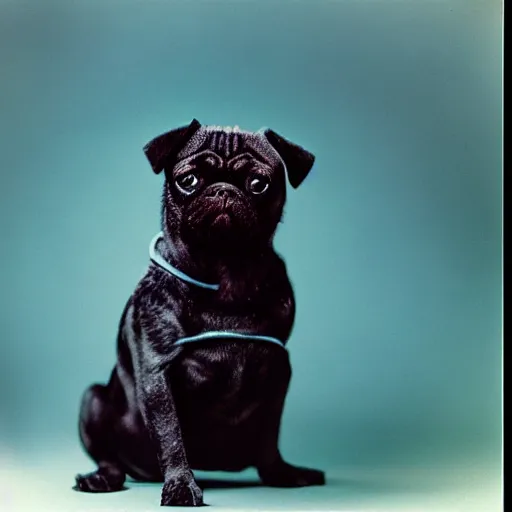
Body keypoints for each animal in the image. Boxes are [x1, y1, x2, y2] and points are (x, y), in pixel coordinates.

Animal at [74, 121, 326, 508]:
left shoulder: (278, 371)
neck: (226, 276)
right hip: (94, 400)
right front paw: (180, 485)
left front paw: (281, 474)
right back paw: (102, 478)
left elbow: (270, 436)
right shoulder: (158, 373)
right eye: (188, 180)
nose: (223, 190)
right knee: (110, 457)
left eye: (259, 184)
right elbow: (171, 435)